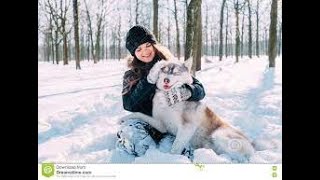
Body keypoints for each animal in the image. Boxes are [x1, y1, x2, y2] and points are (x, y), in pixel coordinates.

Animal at [120, 59, 255, 162]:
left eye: (175, 73)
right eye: (165, 71)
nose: (166, 80)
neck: (168, 99)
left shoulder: (187, 127)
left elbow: (175, 147)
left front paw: (171, 159)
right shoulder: (161, 125)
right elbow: (139, 114)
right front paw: (123, 118)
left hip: (220, 135)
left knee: (243, 158)